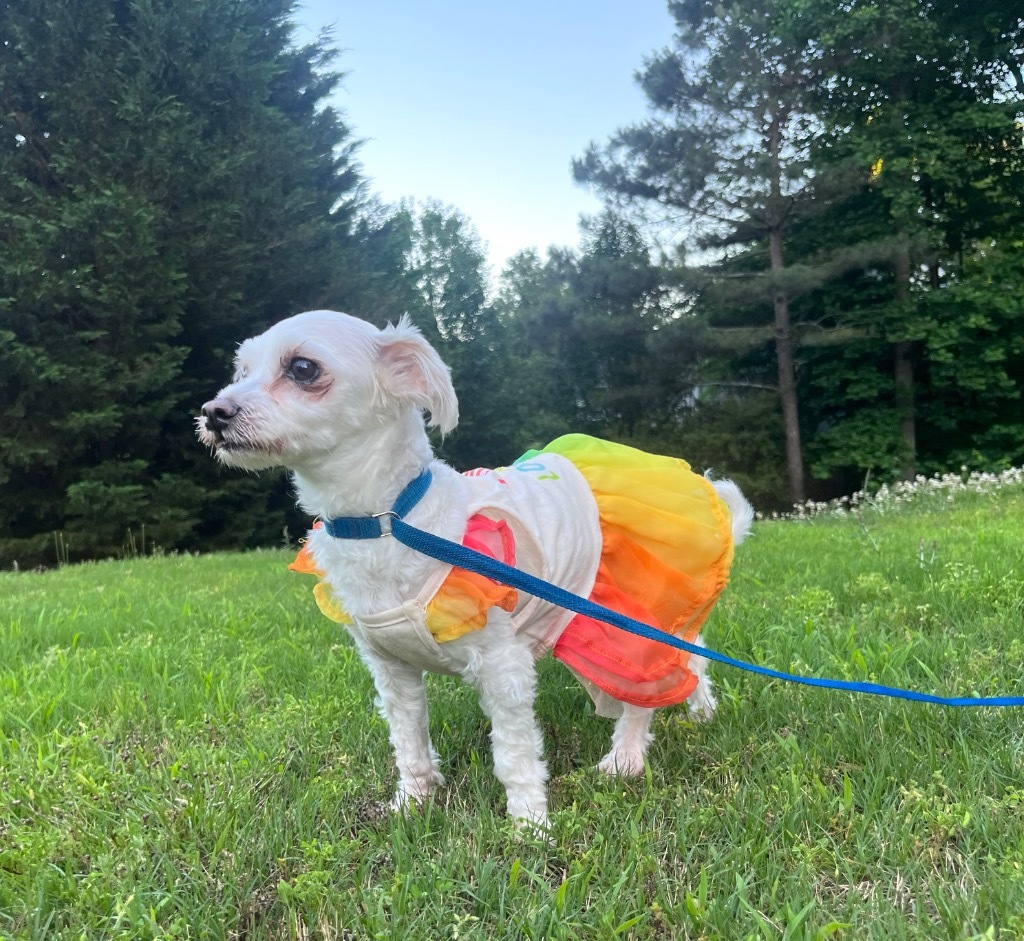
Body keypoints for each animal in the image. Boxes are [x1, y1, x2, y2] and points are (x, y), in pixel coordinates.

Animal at [199, 309, 753, 823]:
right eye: (241, 369)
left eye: (303, 368)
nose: (213, 412)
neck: (389, 521)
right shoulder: (392, 671)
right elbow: (409, 743)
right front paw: (411, 804)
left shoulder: (502, 669)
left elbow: (514, 755)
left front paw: (530, 826)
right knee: (689, 656)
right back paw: (700, 711)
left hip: (628, 618)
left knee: (648, 684)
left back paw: (627, 758)